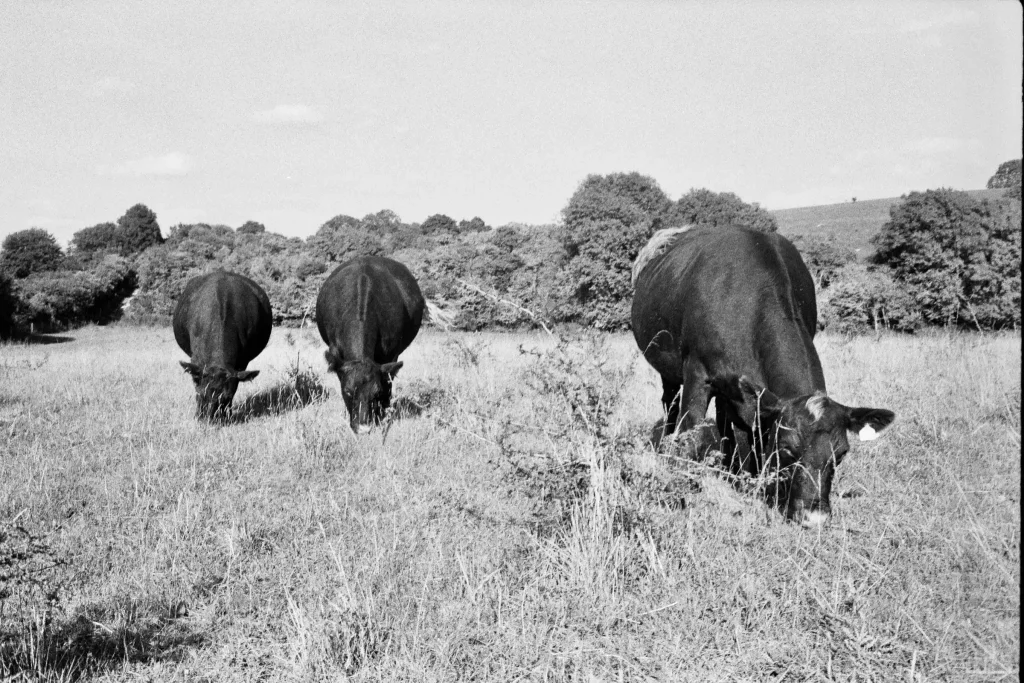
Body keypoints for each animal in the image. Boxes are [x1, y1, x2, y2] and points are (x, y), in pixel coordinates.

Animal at [313, 255, 421, 432]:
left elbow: (388, 383)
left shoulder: (391, 355)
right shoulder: (335, 353)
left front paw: (382, 416)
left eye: (376, 393)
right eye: (348, 392)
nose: (363, 428)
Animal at [626, 227, 892, 528]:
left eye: (842, 452)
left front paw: (749, 481)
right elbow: (689, 430)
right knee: (670, 406)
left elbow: (749, 432)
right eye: (787, 449)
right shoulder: (697, 375)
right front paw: (679, 489)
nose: (814, 517)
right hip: (667, 367)